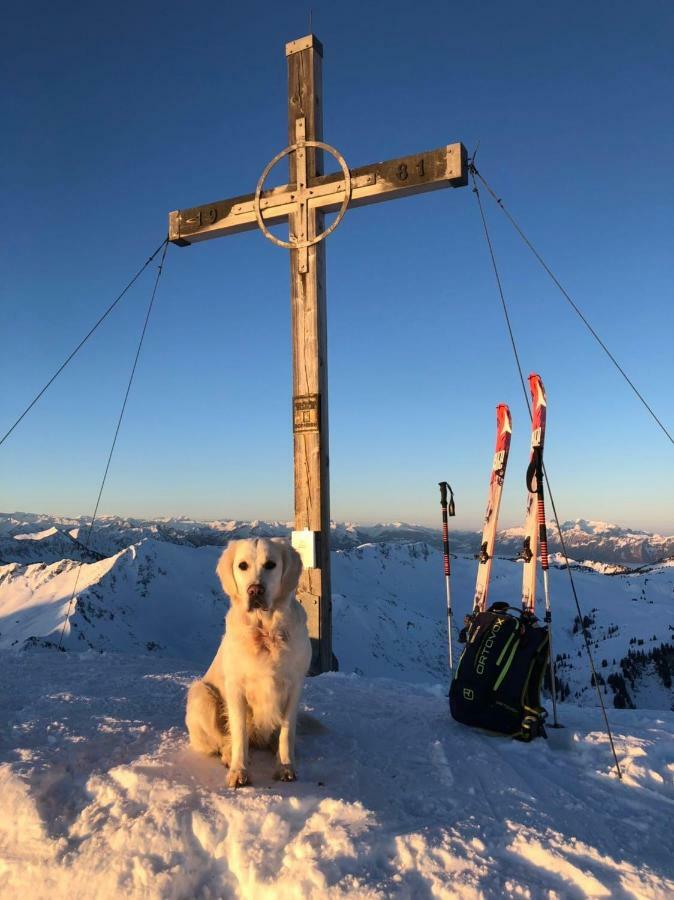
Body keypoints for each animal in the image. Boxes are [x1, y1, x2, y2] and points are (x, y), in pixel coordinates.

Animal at [184, 536, 310, 784]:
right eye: (242, 565)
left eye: (270, 564)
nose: (255, 590)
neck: (265, 631)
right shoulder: (236, 688)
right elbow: (239, 733)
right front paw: (239, 771)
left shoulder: (294, 685)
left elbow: (286, 731)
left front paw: (285, 765)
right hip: (201, 694)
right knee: (219, 742)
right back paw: (227, 755)